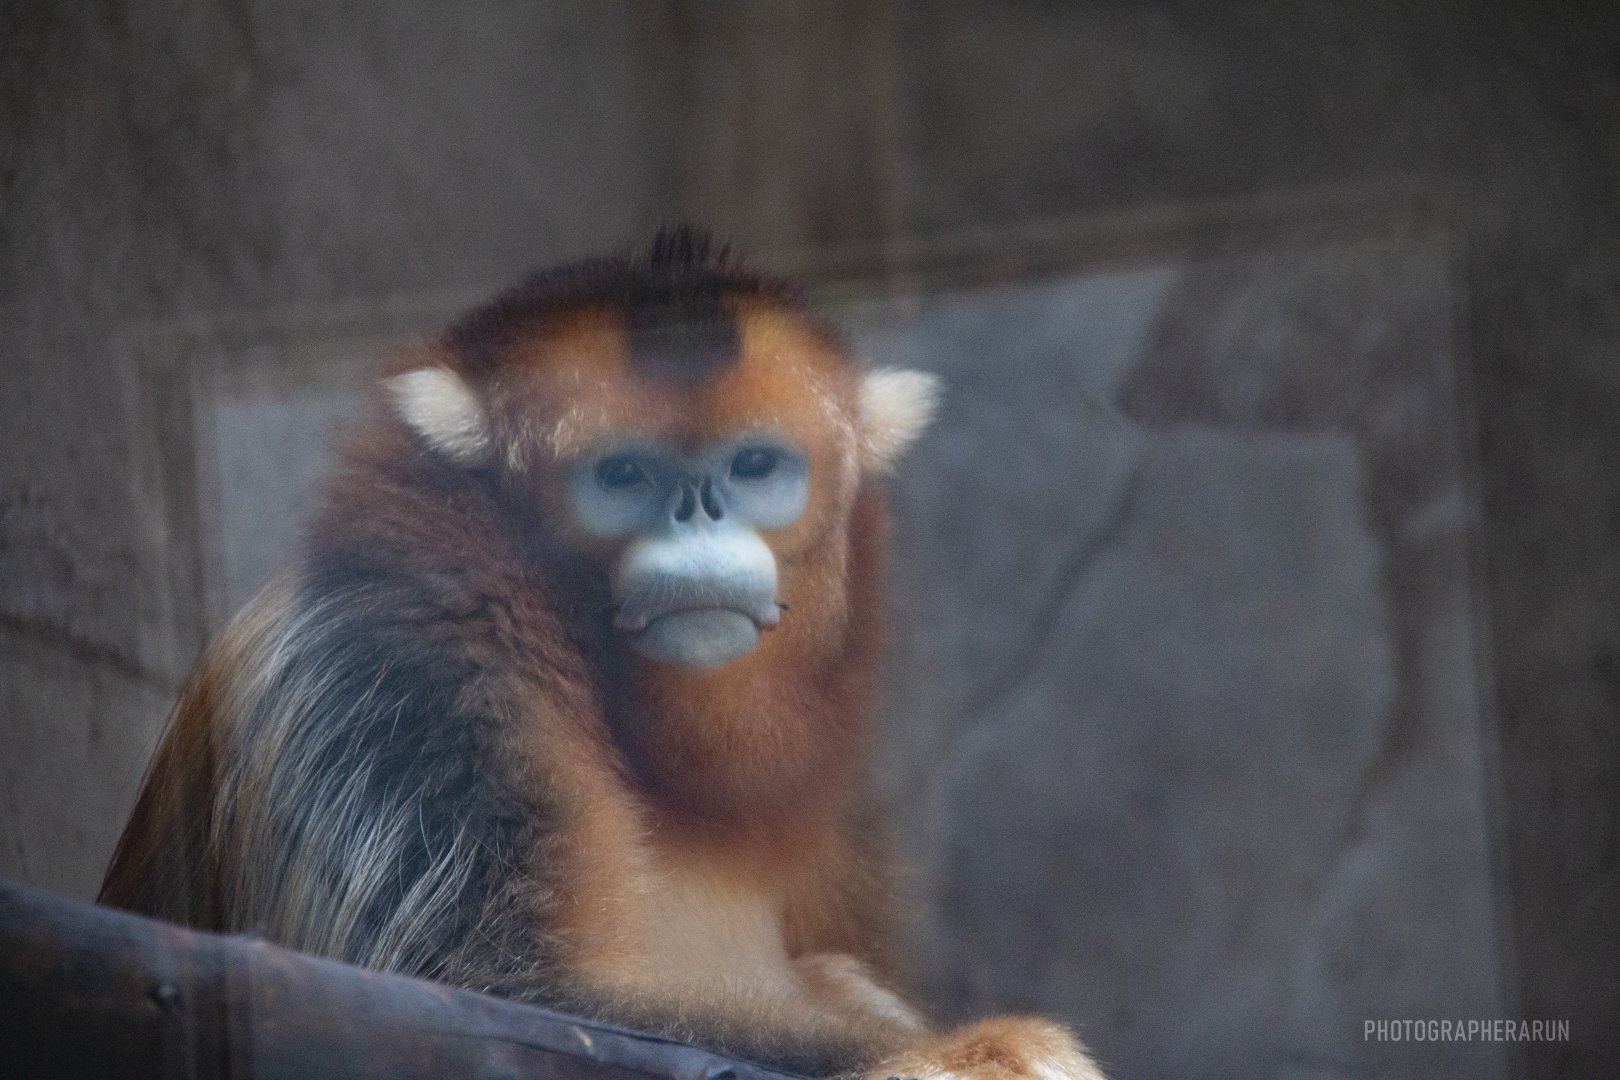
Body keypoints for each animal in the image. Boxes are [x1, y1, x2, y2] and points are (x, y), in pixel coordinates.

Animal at [99, 228, 1105, 1080]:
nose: (699, 515)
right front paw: (968, 1049)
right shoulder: (409, 672)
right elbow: (484, 996)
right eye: (624, 475)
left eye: (753, 467)